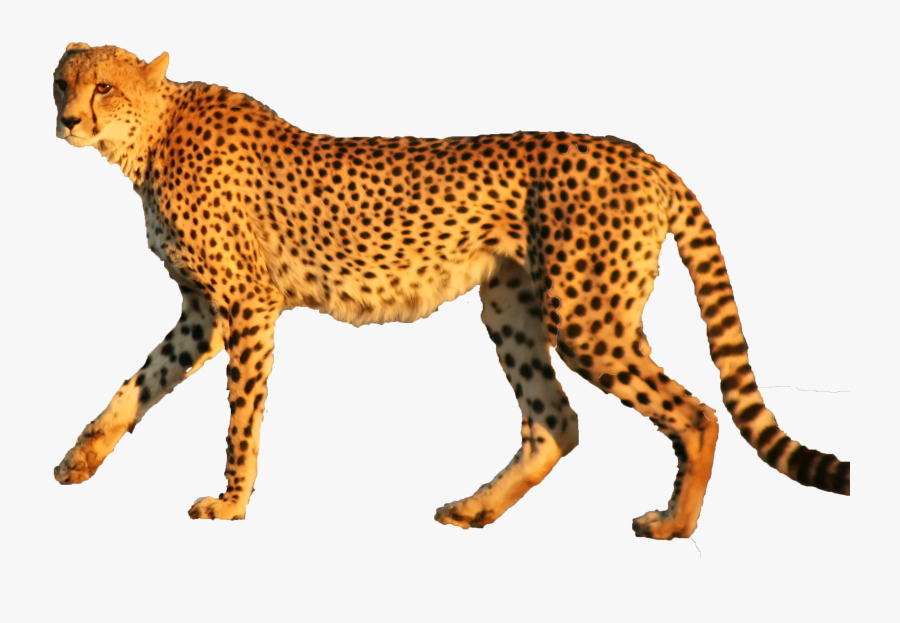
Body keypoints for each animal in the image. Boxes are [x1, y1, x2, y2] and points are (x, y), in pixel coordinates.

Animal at [51, 43, 849, 539]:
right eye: (63, 82)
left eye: (104, 87)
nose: (67, 119)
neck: (152, 134)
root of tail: (644, 155)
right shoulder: (203, 312)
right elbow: (138, 384)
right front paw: (80, 458)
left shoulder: (246, 306)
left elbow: (241, 416)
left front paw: (231, 501)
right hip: (511, 306)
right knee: (555, 422)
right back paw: (475, 508)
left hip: (586, 317)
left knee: (697, 412)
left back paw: (674, 524)